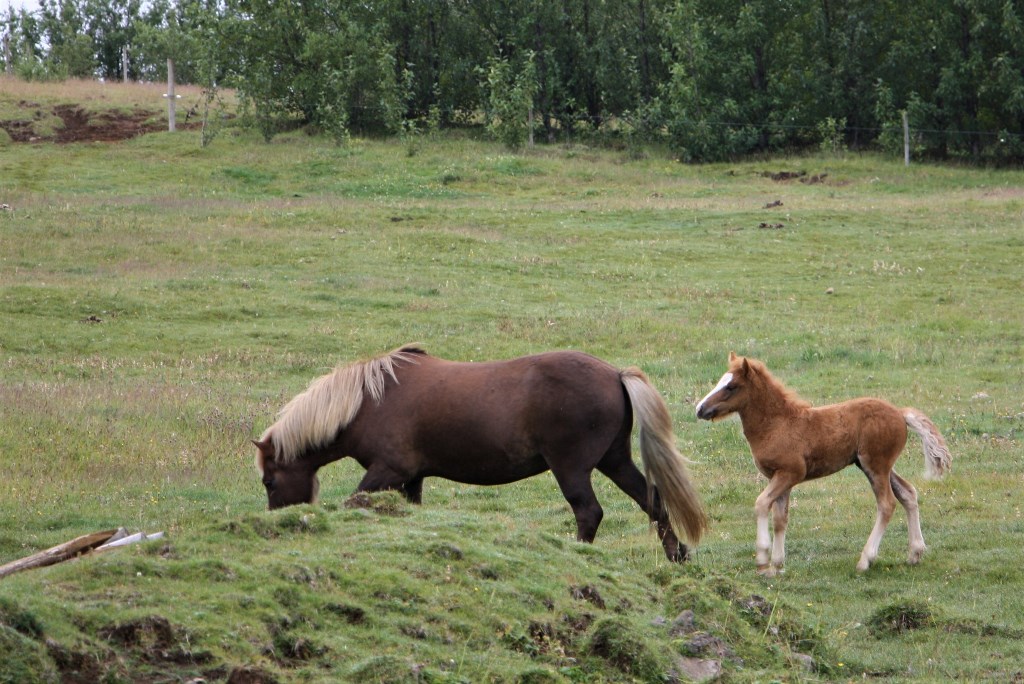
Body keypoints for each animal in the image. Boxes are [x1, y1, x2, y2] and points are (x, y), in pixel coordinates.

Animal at [251, 344, 708, 565]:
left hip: (571, 468)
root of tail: (614, 374)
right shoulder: (411, 478)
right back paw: (677, 556)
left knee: (589, 512)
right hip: (614, 460)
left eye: (269, 481)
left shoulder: (387, 470)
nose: (276, 524)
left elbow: (354, 501)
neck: (369, 400)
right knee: (652, 501)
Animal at [696, 356, 950, 573]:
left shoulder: (790, 473)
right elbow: (780, 519)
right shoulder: (780, 478)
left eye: (731, 386)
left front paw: (762, 559)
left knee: (887, 503)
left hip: (876, 465)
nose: (700, 409)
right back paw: (915, 553)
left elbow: (760, 504)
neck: (776, 424)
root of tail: (900, 412)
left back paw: (865, 560)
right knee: (908, 493)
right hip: (876, 466)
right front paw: (776, 566)